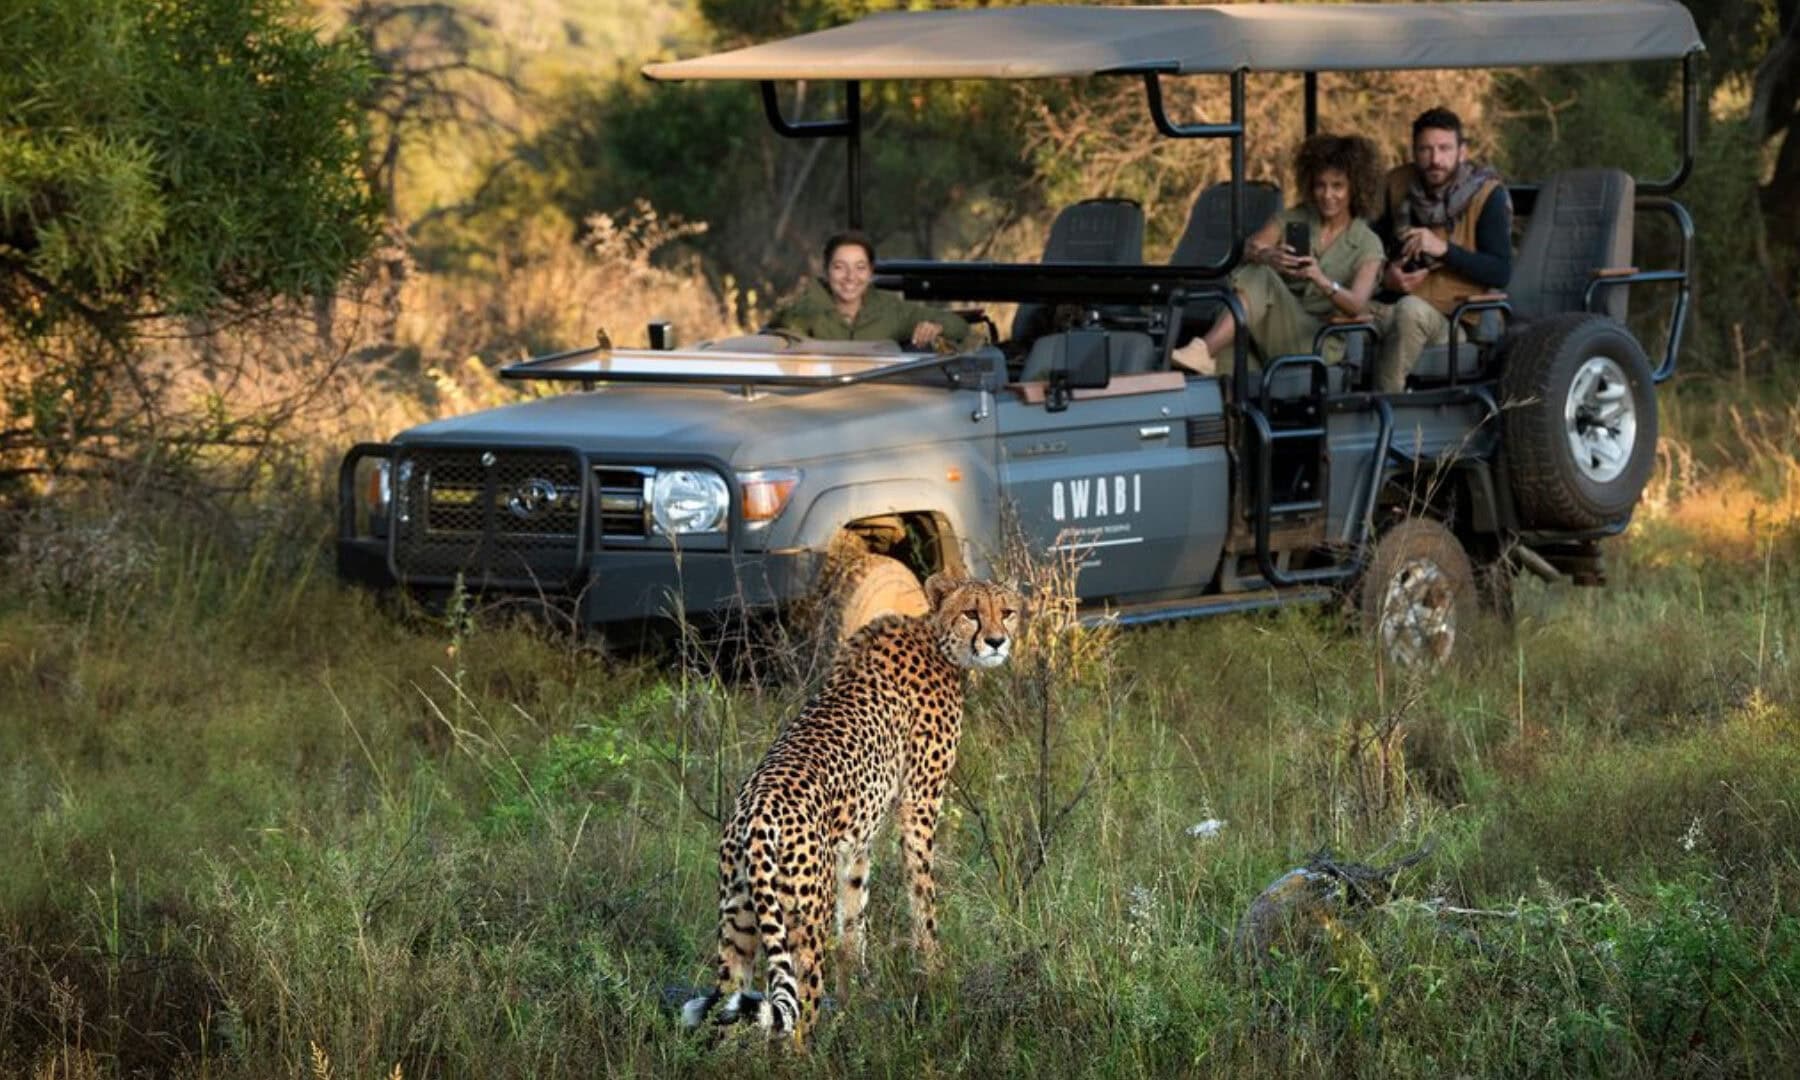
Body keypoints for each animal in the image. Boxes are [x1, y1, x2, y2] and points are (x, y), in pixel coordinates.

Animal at [680, 572, 1021, 1044]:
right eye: (971, 612)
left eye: (1006, 611)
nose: (996, 641)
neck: (935, 636)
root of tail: (757, 811)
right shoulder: (920, 801)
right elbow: (923, 895)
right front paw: (934, 969)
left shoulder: (856, 841)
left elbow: (855, 921)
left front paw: (858, 993)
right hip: (802, 920)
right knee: (798, 1012)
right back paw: (810, 1050)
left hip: (740, 917)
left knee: (731, 1003)